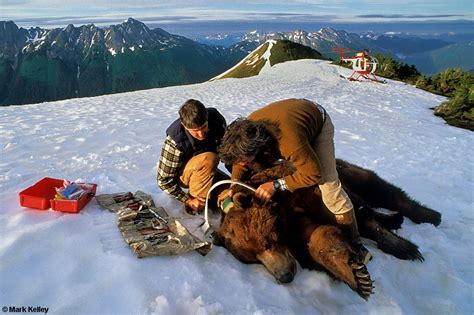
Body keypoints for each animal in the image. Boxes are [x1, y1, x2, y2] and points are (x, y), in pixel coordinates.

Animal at [213, 159, 442, 300]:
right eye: (252, 260)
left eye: (267, 243)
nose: (284, 276)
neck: (283, 210)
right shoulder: (296, 232)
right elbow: (317, 240)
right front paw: (354, 274)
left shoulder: (309, 195)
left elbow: (356, 215)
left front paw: (402, 247)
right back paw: (395, 220)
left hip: (347, 172)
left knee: (383, 192)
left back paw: (429, 216)